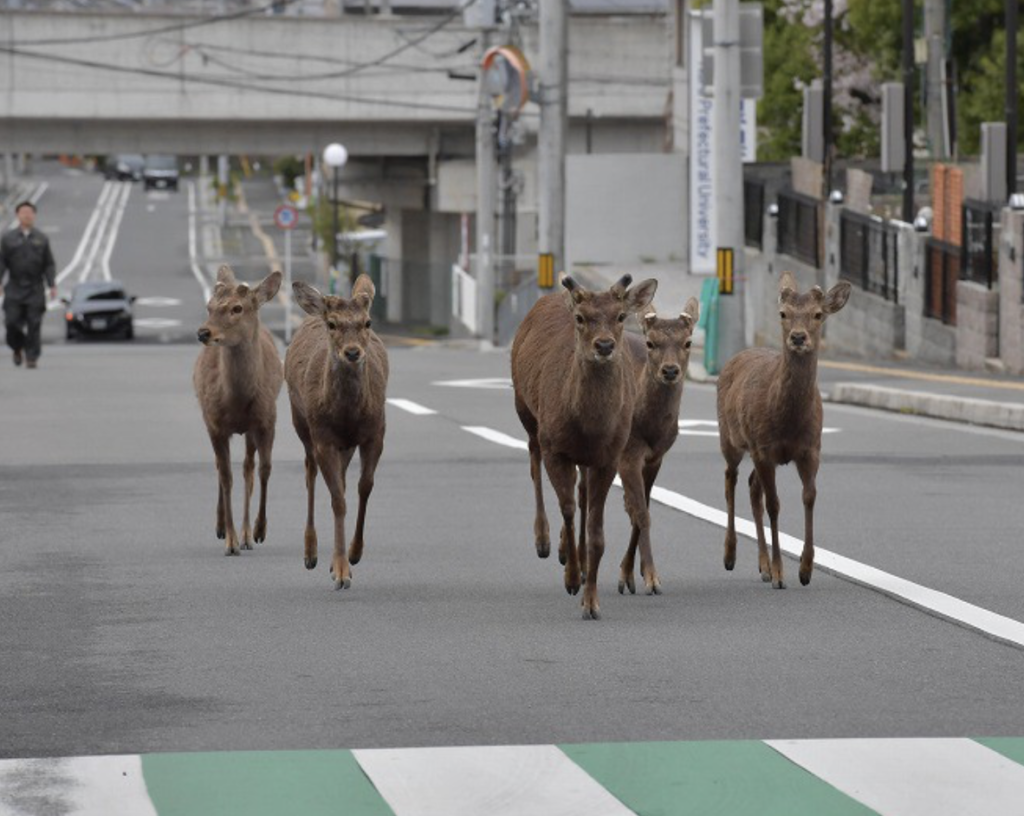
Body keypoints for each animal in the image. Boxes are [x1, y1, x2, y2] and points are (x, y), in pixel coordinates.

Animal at [192, 264, 282, 556]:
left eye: (237, 308)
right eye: (209, 306)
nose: (203, 332)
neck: (237, 402)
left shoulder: (267, 420)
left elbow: (264, 470)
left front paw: (258, 530)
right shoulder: (215, 424)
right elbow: (226, 476)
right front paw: (230, 540)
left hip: (250, 432)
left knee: (248, 469)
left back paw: (247, 534)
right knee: (222, 469)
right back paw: (223, 528)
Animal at [284, 276, 387, 589]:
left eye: (367, 322)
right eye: (332, 324)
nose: (352, 352)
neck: (347, 415)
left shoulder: (376, 432)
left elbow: (364, 487)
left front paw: (353, 554)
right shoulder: (324, 438)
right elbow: (338, 500)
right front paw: (342, 571)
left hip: (346, 444)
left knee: (340, 478)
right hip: (302, 423)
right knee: (310, 474)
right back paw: (311, 553)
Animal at [509, 274, 655, 618]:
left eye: (620, 315)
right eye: (580, 318)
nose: (604, 345)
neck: (588, 427)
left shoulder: (608, 456)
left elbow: (596, 532)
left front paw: (591, 601)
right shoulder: (555, 448)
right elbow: (567, 508)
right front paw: (572, 579)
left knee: (582, 493)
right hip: (526, 410)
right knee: (534, 464)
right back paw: (546, 541)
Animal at [716, 272, 851, 585]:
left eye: (818, 314)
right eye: (783, 313)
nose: (798, 337)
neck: (788, 422)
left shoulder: (810, 450)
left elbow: (809, 497)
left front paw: (805, 568)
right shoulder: (764, 449)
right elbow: (774, 504)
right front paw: (780, 572)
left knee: (752, 487)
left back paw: (762, 566)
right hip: (730, 437)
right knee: (731, 480)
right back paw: (730, 556)